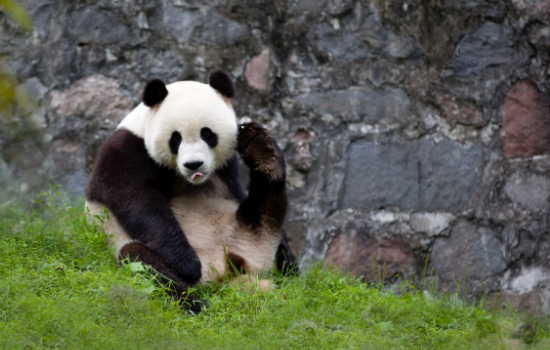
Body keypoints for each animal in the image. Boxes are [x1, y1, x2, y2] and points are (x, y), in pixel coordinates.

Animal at [85, 71, 298, 312]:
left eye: (207, 134)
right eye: (175, 138)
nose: (193, 164)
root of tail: (225, 275)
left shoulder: (226, 168)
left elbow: (235, 193)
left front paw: (289, 257)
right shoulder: (124, 152)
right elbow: (138, 201)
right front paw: (185, 263)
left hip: (246, 232)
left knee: (264, 208)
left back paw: (261, 149)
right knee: (143, 263)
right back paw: (192, 301)